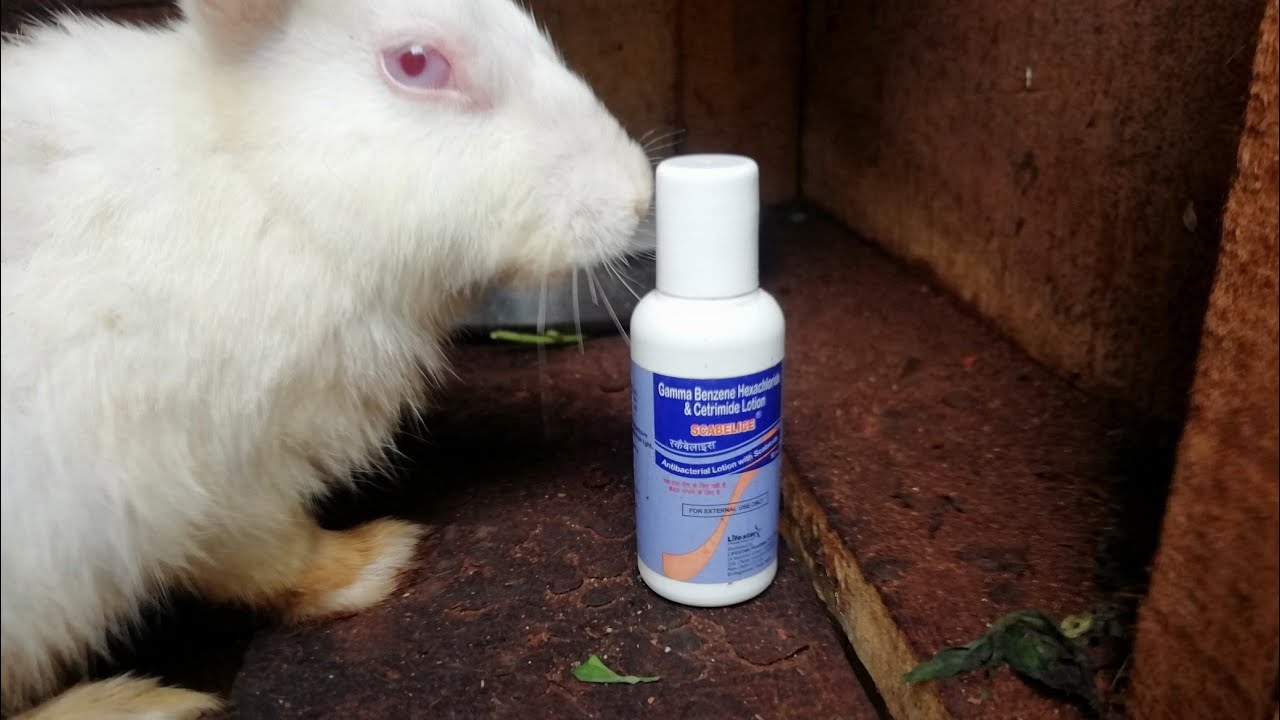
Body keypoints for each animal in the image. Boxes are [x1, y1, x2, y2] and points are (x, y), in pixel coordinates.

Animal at [0, 0, 655, 716]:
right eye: (416, 63)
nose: (639, 194)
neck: (268, 185)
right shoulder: (216, 474)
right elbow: (273, 556)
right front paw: (377, 560)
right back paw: (139, 703)